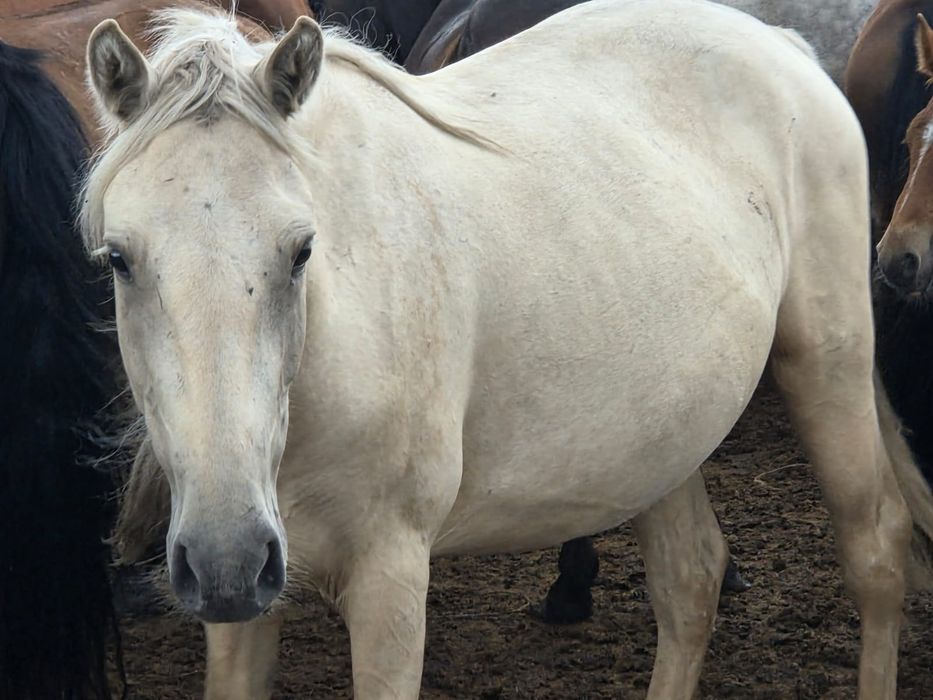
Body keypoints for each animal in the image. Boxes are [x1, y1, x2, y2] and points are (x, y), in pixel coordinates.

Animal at [82, 1, 933, 697]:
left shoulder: (390, 583)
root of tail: (780, 44)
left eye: (300, 250)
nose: (226, 559)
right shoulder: (240, 609)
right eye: (120, 258)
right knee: (689, 583)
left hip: (826, 366)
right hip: (658, 440)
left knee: (876, 552)